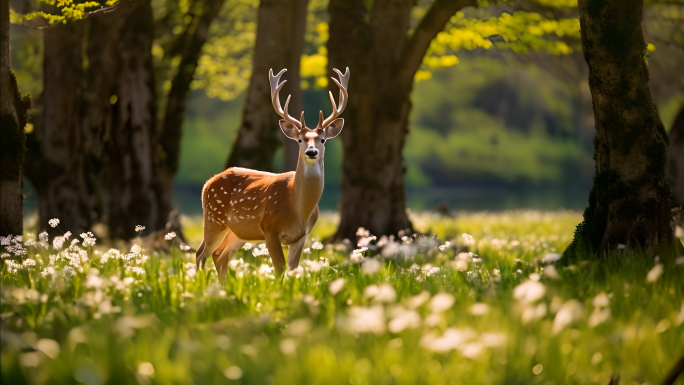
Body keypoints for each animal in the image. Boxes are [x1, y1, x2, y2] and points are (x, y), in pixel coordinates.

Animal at [195, 67, 350, 280]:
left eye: (323, 140)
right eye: (300, 140)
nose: (311, 152)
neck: (297, 208)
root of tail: (207, 183)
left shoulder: (302, 236)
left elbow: (292, 269)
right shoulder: (270, 229)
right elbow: (279, 269)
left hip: (239, 231)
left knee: (219, 255)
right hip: (213, 217)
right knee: (200, 253)